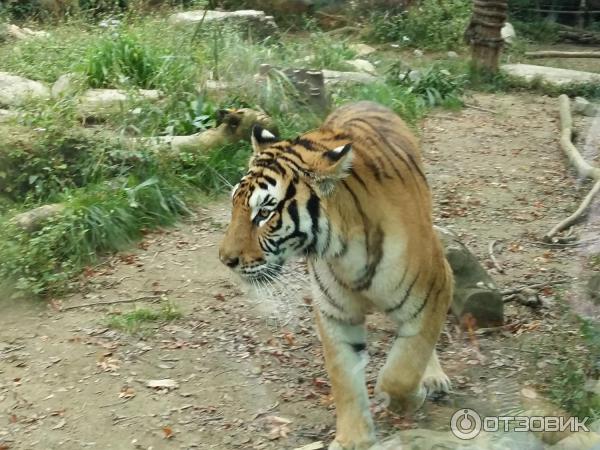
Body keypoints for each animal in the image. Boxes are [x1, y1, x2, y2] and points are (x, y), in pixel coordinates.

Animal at [218, 102, 452, 450]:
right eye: (234, 205)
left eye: (265, 213)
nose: (226, 259)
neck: (345, 252)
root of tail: (365, 101)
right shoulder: (335, 314)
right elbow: (345, 379)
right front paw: (353, 439)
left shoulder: (436, 284)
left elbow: (406, 365)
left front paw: (408, 398)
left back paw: (432, 377)